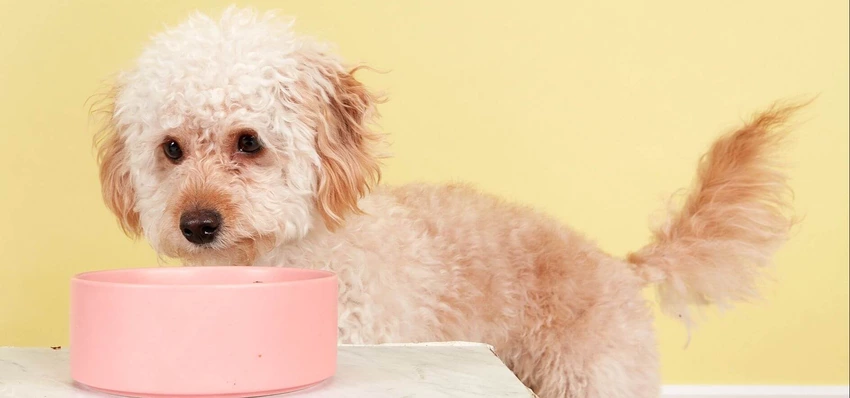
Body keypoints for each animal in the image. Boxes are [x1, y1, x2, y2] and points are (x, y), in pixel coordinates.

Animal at [93, 7, 800, 398]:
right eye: (171, 149)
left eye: (249, 142)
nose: (197, 224)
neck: (286, 255)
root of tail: (618, 266)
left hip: (590, 379)